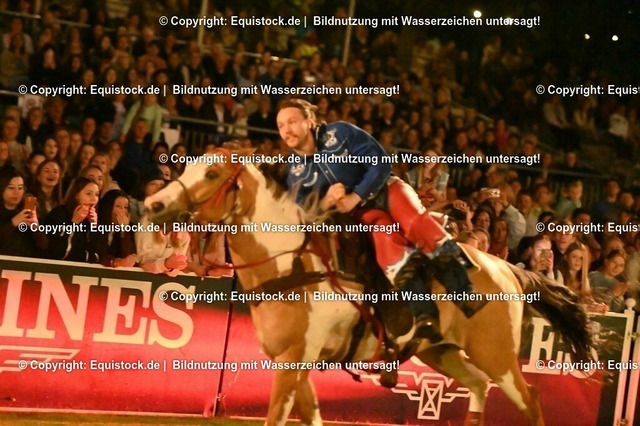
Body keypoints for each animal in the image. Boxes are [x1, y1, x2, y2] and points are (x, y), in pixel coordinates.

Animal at [144, 148, 592, 426]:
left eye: (212, 173)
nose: (153, 205)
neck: (291, 263)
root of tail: (506, 269)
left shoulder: (292, 362)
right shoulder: (298, 364)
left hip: (496, 353)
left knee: (529, 397)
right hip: (442, 351)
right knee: (479, 386)